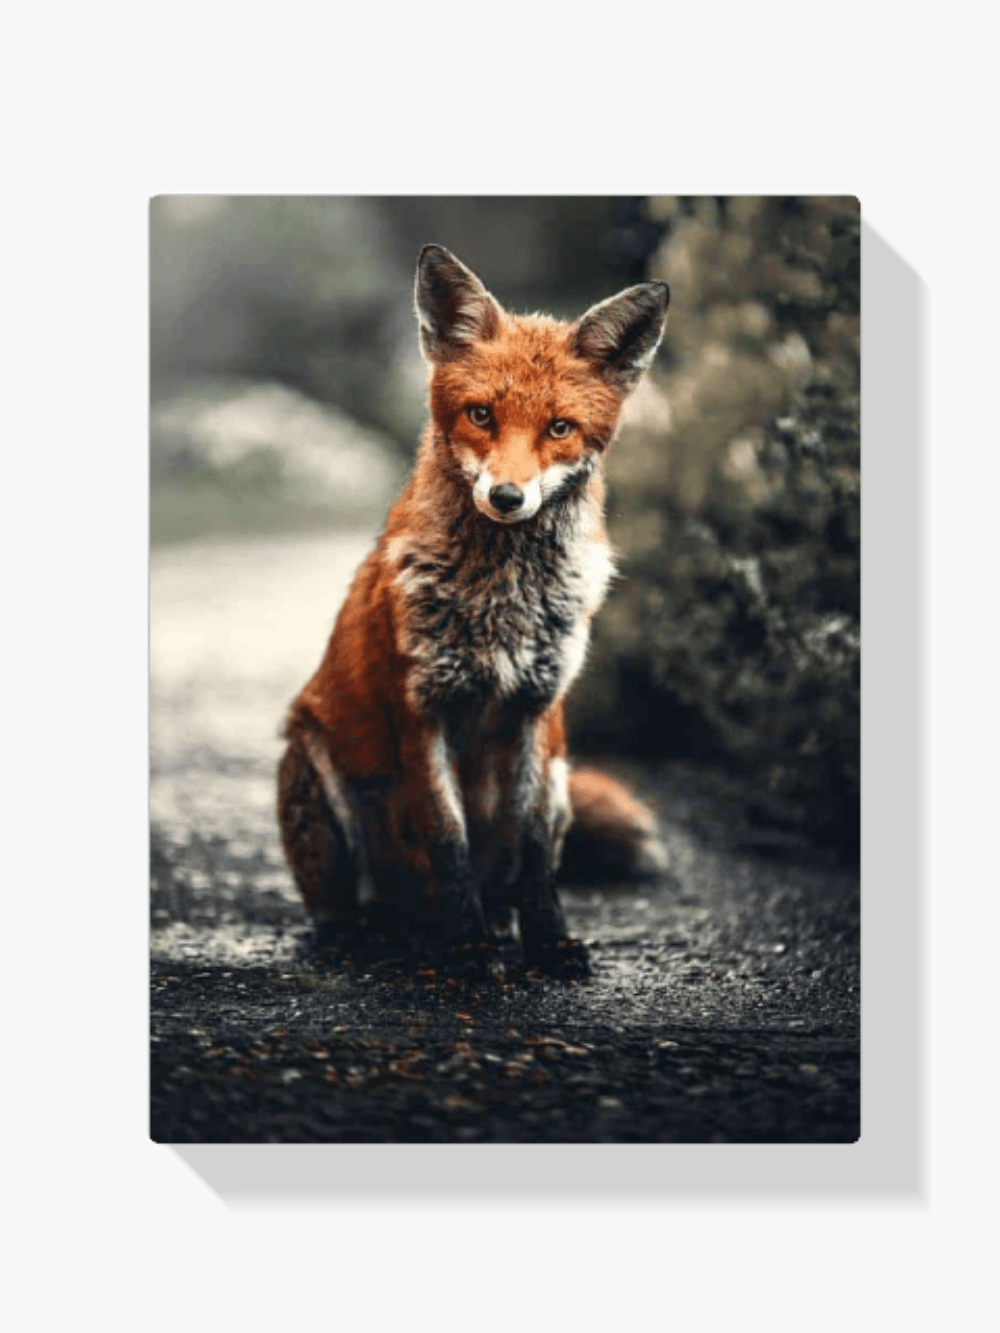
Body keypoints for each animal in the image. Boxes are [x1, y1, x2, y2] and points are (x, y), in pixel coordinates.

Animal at [277, 244, 670, 980]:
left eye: (559, 427)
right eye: (482, 415)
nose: (508, 497)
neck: (502, 602)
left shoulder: (539, 711)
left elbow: (536, 852)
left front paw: (547, 940)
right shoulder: (422, 706)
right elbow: (448, 838)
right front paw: (467, 947)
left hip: (563, 775)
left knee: (508, 875)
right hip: (313, 764)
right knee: (349, 905)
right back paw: (374, 934)